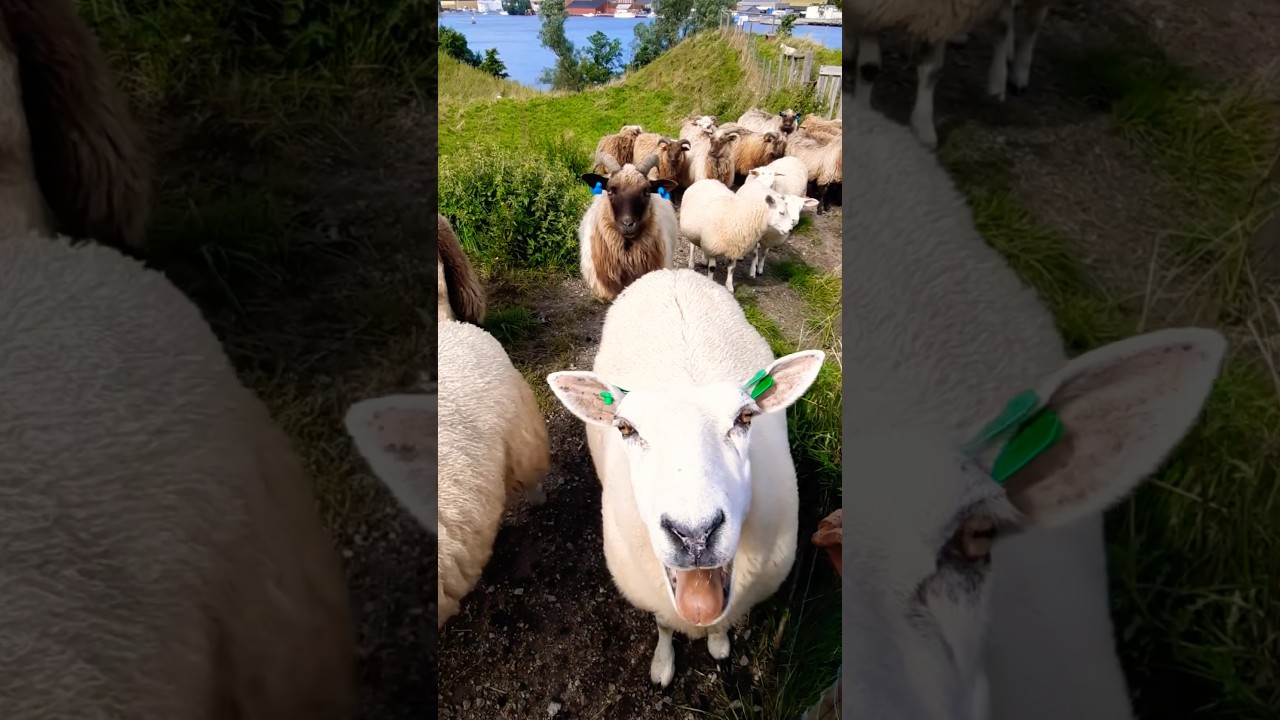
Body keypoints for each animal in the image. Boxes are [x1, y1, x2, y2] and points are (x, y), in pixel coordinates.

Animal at [545, 268, 826, 688]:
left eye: (745, 418)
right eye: (625, 428)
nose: (694, 535)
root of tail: (671, 272)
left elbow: (721, 625)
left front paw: (719, 644)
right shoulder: (654, 597)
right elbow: (663, 625)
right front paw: (663, 665)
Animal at [848, 0, 1053, 149]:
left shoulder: (940, 16)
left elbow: (931, 71)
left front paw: (923, 127)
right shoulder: (868, 11)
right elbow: (869, 68)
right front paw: (862, 109)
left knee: (1026, 23)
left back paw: (1012, 77)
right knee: (1005, 22)